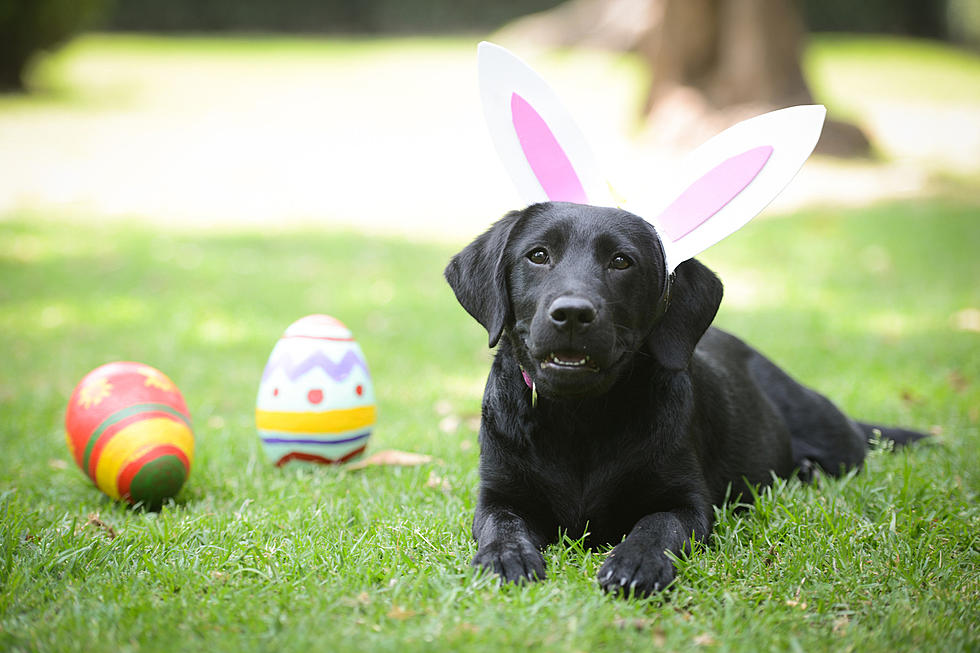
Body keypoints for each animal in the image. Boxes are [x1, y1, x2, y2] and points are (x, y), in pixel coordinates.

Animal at [446, 201, 928, 592]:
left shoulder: (687, 502)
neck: (579, 420)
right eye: (538, 255)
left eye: (621, 261)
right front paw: (505, 558)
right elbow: (502, 526)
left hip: (835, 441)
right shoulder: (498, 497)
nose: (572, 313)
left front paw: (636, 562)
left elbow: (657, 526)